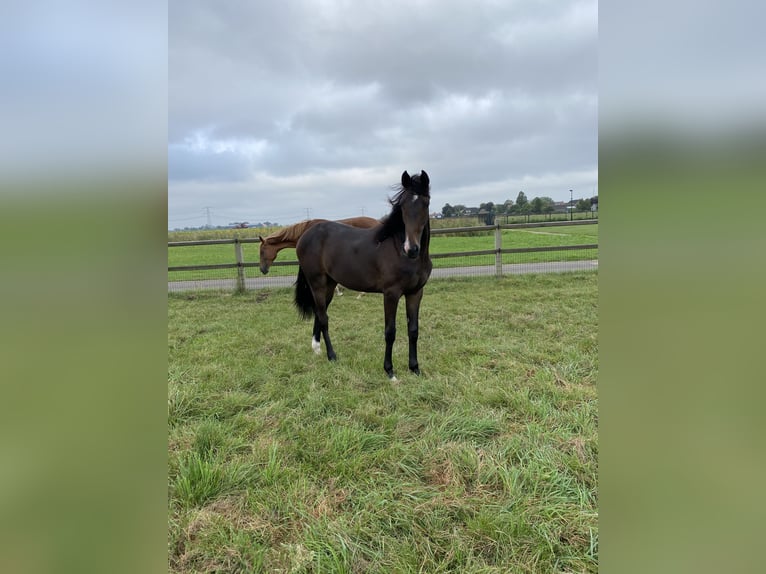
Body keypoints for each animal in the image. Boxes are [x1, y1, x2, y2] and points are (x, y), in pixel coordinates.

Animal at [294, 169, 432, 380]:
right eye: (402, 206)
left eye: (426, 203)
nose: (411, 249)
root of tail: (305, 235)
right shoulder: (391, 294)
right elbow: (390, 332)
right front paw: (390, 371)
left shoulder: (415, 293)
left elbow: (413, 330)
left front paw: (415, 368)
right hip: (316, 284)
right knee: (324, 318)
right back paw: (332, 356)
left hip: (330, 285)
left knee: (320, 312)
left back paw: (317, 348)